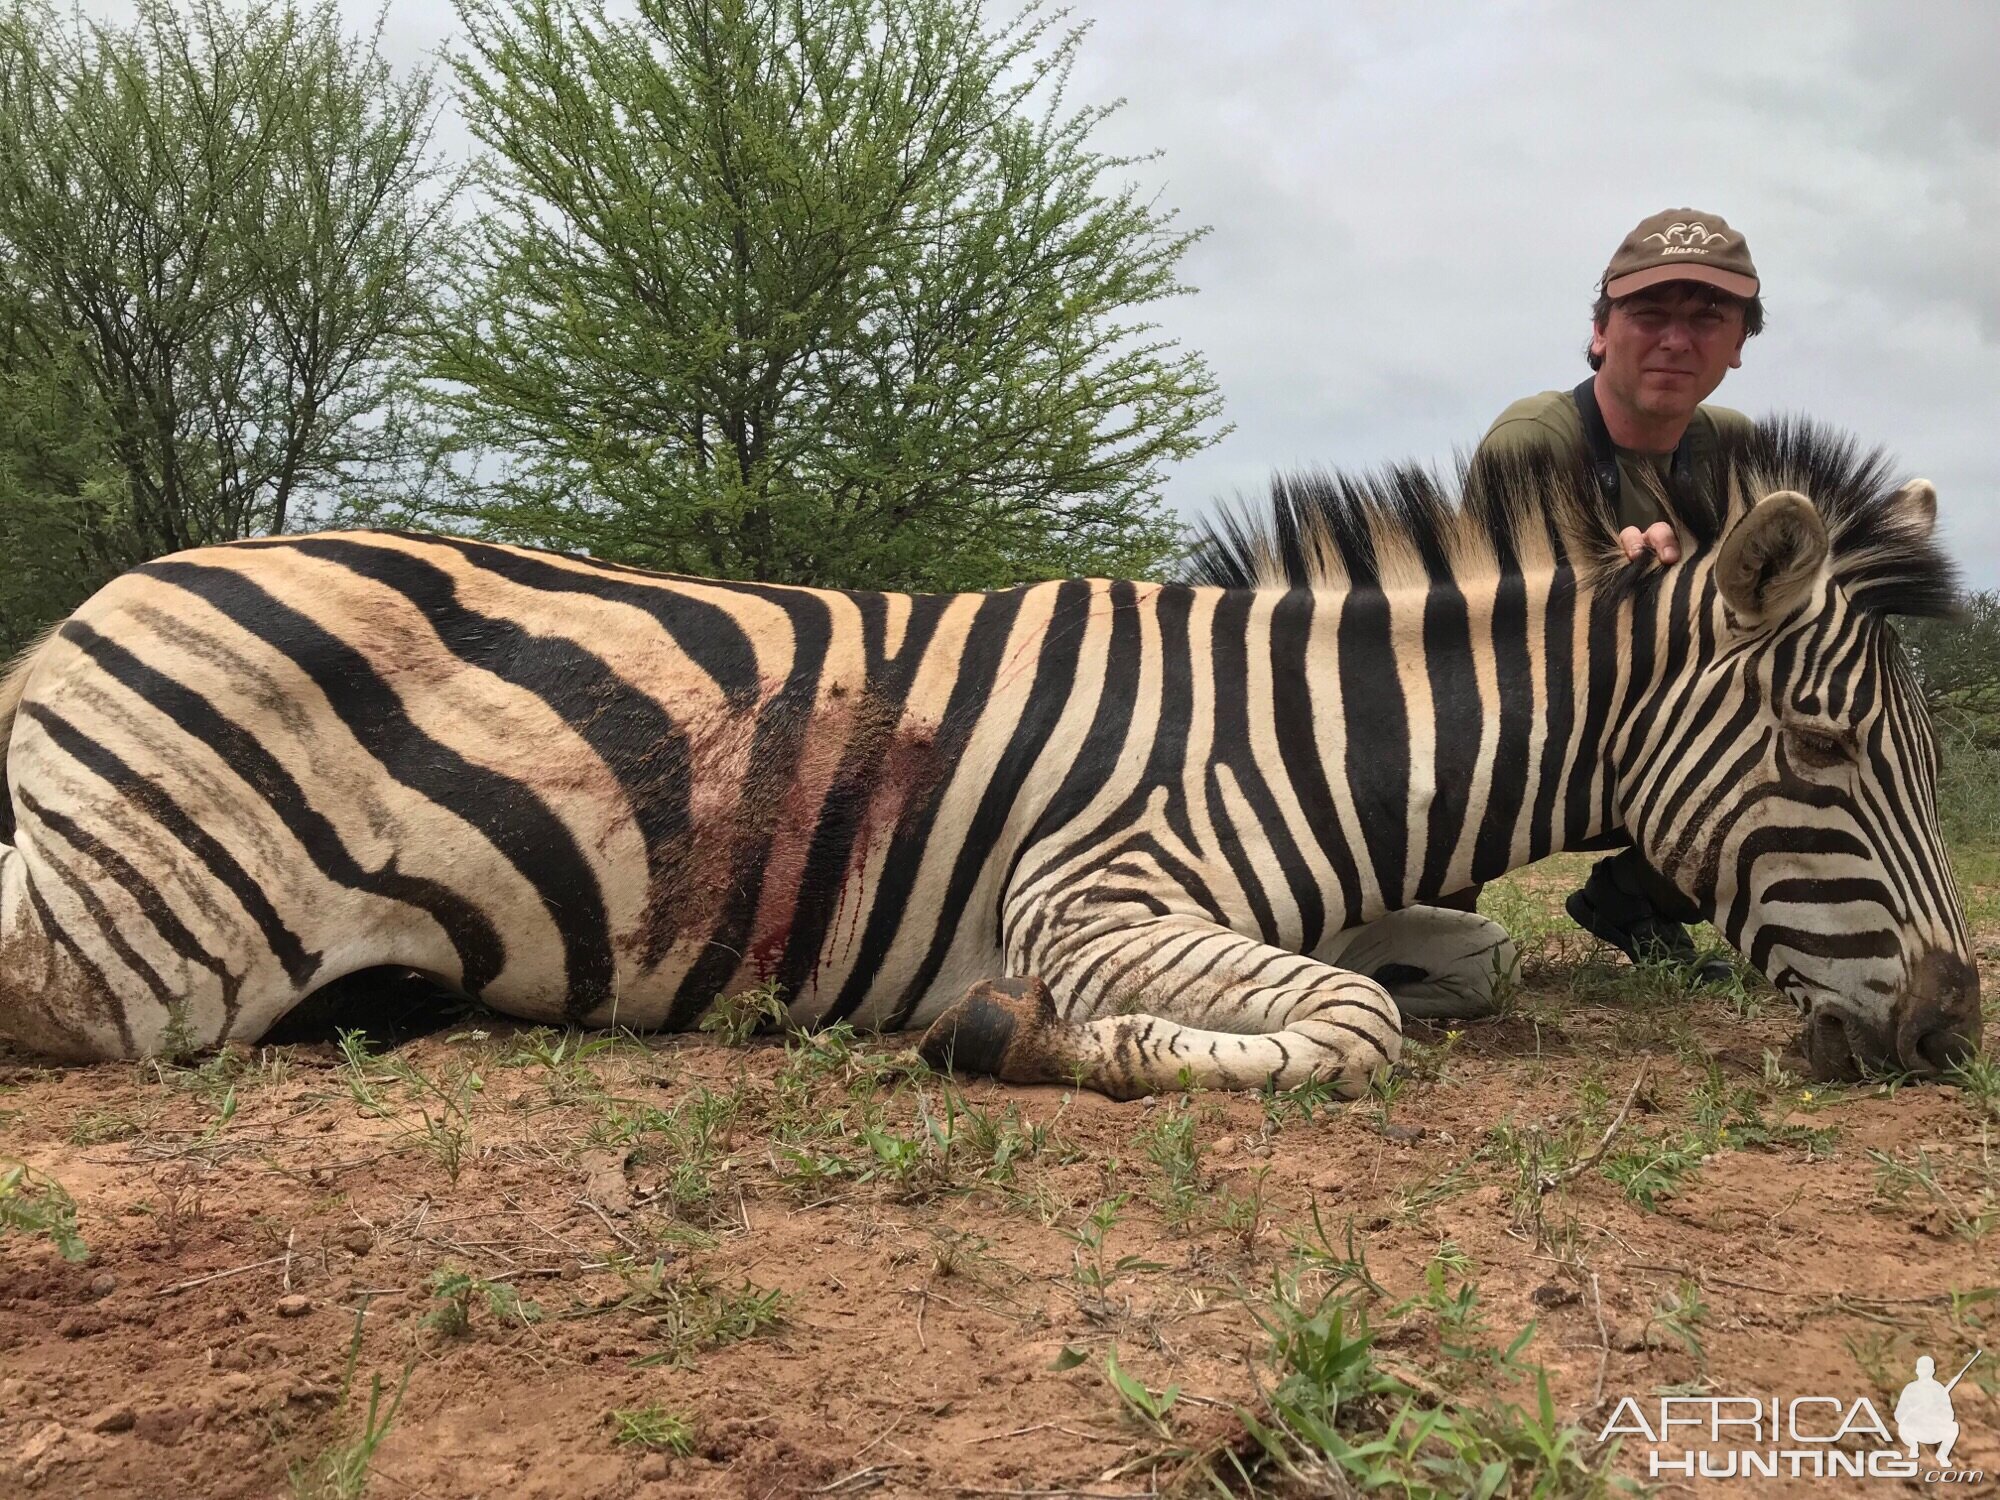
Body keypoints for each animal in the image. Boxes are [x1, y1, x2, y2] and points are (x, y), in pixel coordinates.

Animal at [0, 418, 1976, 1096]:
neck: (1307, 738)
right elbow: (1356, 1026)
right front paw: (1004, 1034)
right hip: (137, 947)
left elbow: (1460, 959)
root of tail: (109, 596)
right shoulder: (1092, 898)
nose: (1958, 1028)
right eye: (1824, 746)